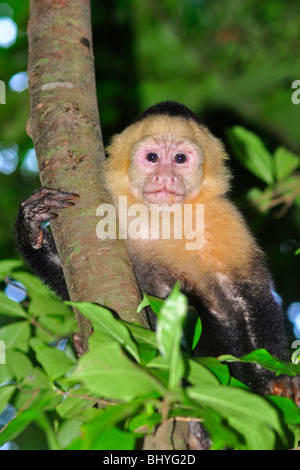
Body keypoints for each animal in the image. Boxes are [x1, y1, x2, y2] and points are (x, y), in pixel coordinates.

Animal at [15, 102, 300, 404]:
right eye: (152, 157)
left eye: (179, 158)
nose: (164, 177)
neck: (161, 217)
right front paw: (31, 227)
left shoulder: (224, 218)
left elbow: (245, 296)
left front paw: (274, 380)